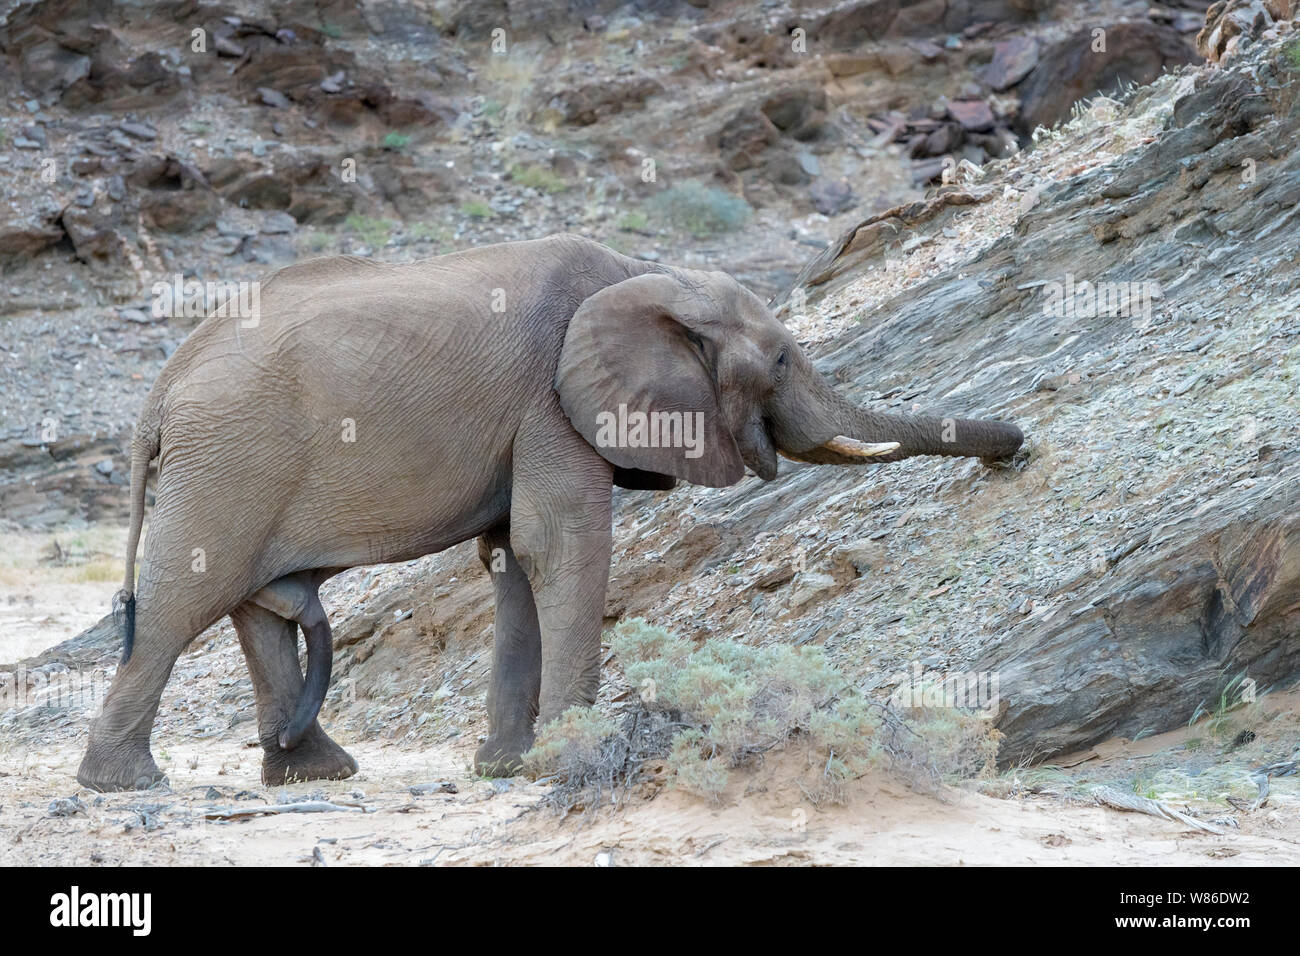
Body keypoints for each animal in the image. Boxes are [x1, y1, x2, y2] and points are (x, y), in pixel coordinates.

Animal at [73, 234, 1024, 790]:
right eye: (784, 359)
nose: (1013, 453)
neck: (651, 277)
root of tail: (162, 388)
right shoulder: (551, 403)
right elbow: (559, 546)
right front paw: (572, 754)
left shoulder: (530, 418)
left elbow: (514, 560)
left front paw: (508, 768)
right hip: (229, 461)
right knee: (183, 602)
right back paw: (126, 785)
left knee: (255, 605)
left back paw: (315, 776)